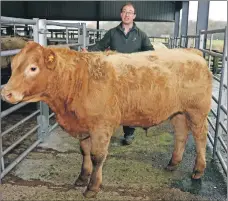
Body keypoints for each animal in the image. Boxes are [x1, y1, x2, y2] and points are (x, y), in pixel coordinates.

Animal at [0, 41, 213, 199]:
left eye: (33, 68)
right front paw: (82, 176)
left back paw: (198, 170)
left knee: (200, 137)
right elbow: (84, 152)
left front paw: (92, 187)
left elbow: (97, 156)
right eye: (13, 66)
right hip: (178, 113)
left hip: (197, 112)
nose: (6, 92)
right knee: (181, 135)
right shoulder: (84, 126)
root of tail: (192, 52)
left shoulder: (101, 125)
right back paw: (173, 163)